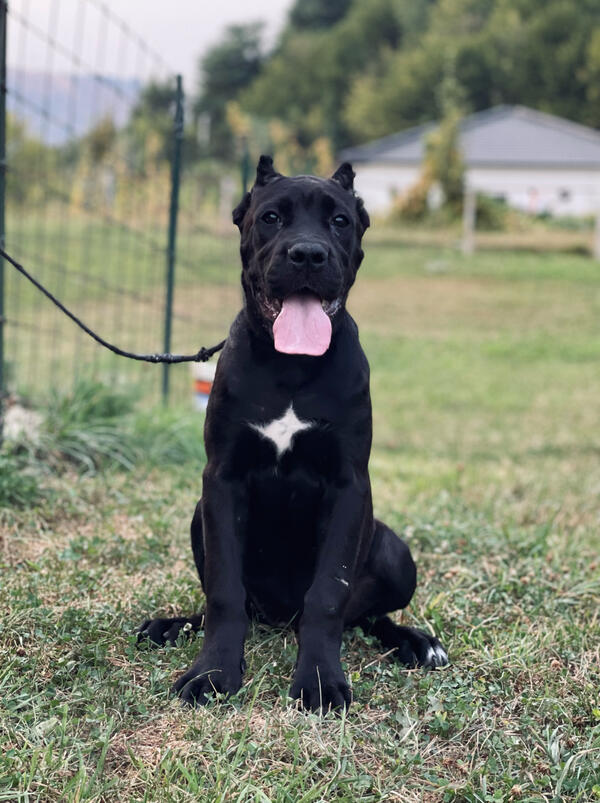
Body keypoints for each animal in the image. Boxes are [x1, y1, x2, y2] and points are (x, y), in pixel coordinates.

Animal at [138, 155, 448, 708]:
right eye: (271, 217)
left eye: (340, 221)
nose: (307, 254)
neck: (291, 365)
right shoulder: (221, 481)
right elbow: (223, 592)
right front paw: (212, 673)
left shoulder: (349, 486)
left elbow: (328, 593)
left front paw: (320, 680)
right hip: (199, 519)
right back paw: (171, 626)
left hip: (395, 551)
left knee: (366, 616)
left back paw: (417, 642)